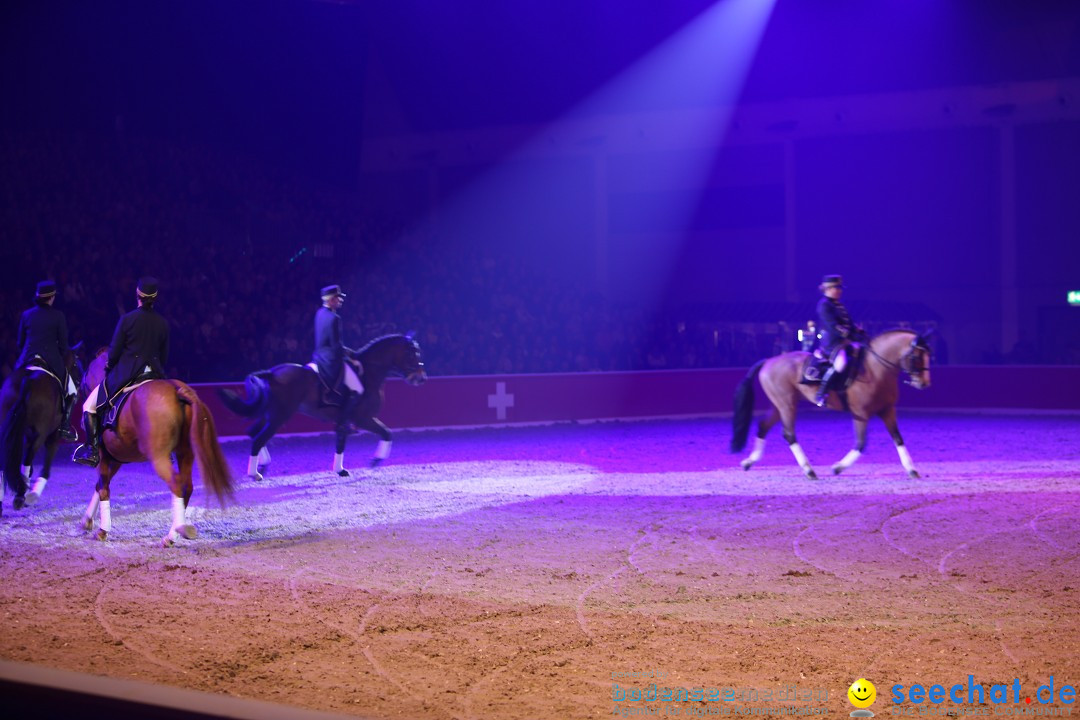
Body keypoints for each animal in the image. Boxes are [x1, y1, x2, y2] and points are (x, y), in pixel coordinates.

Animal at [0, 347, 82, 511]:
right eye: (76, 364)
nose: (80, 382)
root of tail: (27, 381)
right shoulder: (54, 436)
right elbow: (46, 465)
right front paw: (32, 495)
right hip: (40, 434)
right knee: (28, 459)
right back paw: (21, 496)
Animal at [78, 349, 235, 546]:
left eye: (84, 376)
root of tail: (177, 389)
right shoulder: (118, 459)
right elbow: (99, 486)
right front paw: (87, 521)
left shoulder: (104, 456)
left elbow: (103, 487)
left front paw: (101, 530)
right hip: (185, 452)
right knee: (187, 486)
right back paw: (176, 532)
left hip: (159, 456)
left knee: (176, 483)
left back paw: (174, 535)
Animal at [216, 334, 425, 481]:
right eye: (410, 354)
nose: (421, 378)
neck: (368, 373)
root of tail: (272, 373)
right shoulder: (362, 418)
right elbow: (386, 433)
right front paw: (374, 461)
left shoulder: (347, 420)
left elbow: (345, 440)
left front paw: (342, 469)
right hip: (279, 416)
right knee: (258, 439)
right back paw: (255, 474)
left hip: (269, 415)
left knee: (253, 433)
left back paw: (263, 466)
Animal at [734, 330, 928, 479]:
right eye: (916, 357)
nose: (925, 384)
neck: (876, 370)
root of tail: (768, 361)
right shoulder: (861, 413)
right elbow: (860, 444)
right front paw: (838, 467)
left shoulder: (887, 410)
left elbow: (898, 438)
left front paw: (912, 470)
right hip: (787, 405)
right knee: (788, 433)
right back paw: (809, 471)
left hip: (779, 405)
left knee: (763, 426)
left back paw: (749, 462)